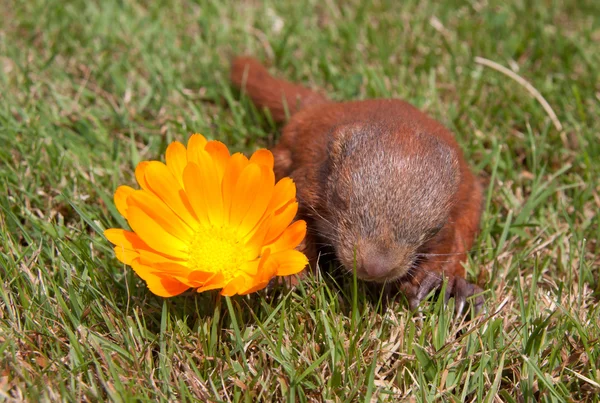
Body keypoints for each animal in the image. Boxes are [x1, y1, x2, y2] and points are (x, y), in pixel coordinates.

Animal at [232, 56, 486, 312]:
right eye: (340, 198)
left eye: (435, 226)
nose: (376, 267)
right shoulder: (304, 184)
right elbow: (292, 226)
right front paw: (294, 279)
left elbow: (444, 247)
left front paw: (429, 282)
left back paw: (457, 288)